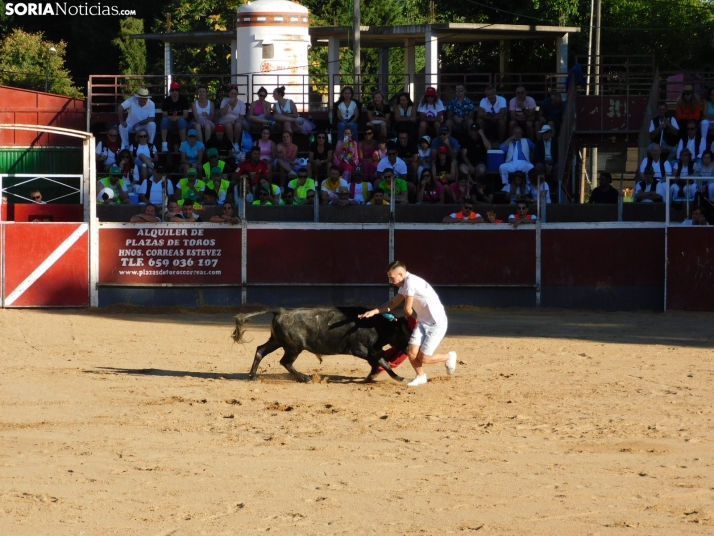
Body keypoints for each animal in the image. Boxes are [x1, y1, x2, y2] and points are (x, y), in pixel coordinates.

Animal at [232, 308, 412, 384]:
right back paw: (305, 378)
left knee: (260, 351)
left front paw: (397, 377)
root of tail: (280, 311)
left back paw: (252, 376)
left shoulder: (374, 350)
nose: (410, 350)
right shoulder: (361, 349)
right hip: (294, 348)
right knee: (286, 362)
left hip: (276, 341)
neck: (377, 326)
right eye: (405, 333)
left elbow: (383, 362)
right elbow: (381, 362)